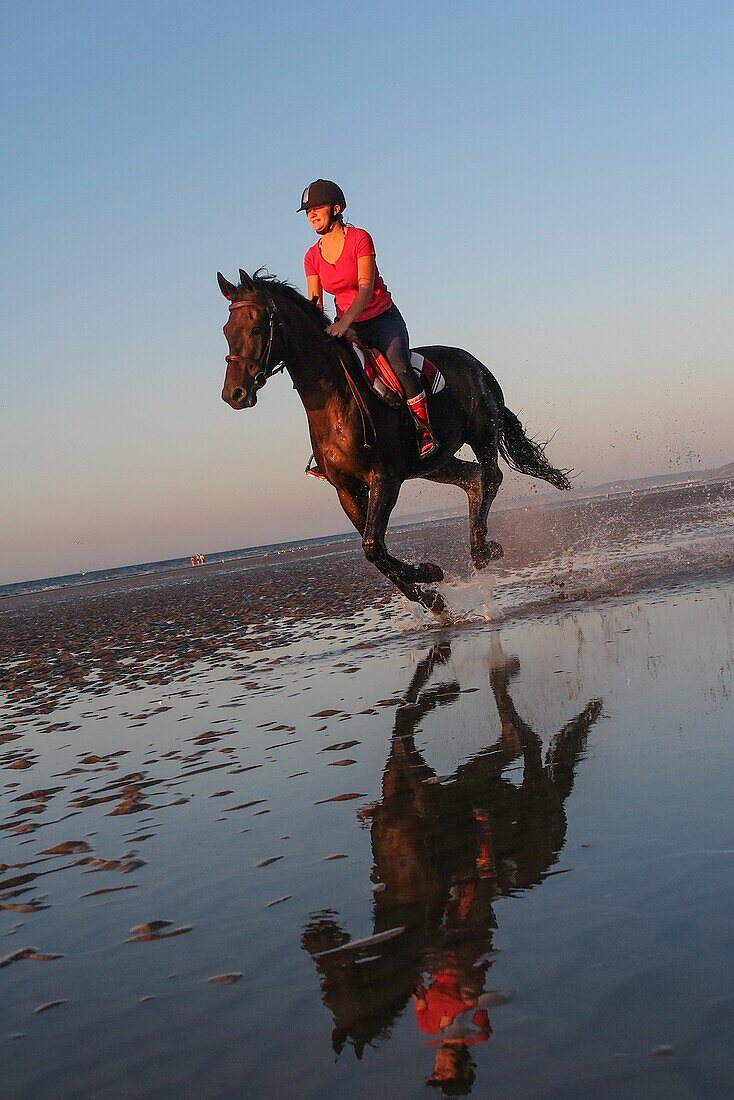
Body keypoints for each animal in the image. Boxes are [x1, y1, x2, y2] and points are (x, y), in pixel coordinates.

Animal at [215, 265, 572, 611]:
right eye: (226, 331)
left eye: (256, 328)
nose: (234, 394)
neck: (335, 399)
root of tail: (476, 364)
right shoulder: (347, 489)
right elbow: (375, 550)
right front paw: (432, 594)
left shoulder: (385, 477)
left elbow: (373, 545)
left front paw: (429, 575)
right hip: (434, 463)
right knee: (473, 478)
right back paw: (478, 547)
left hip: (482, 433)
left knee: (491, 476)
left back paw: (484, 550)